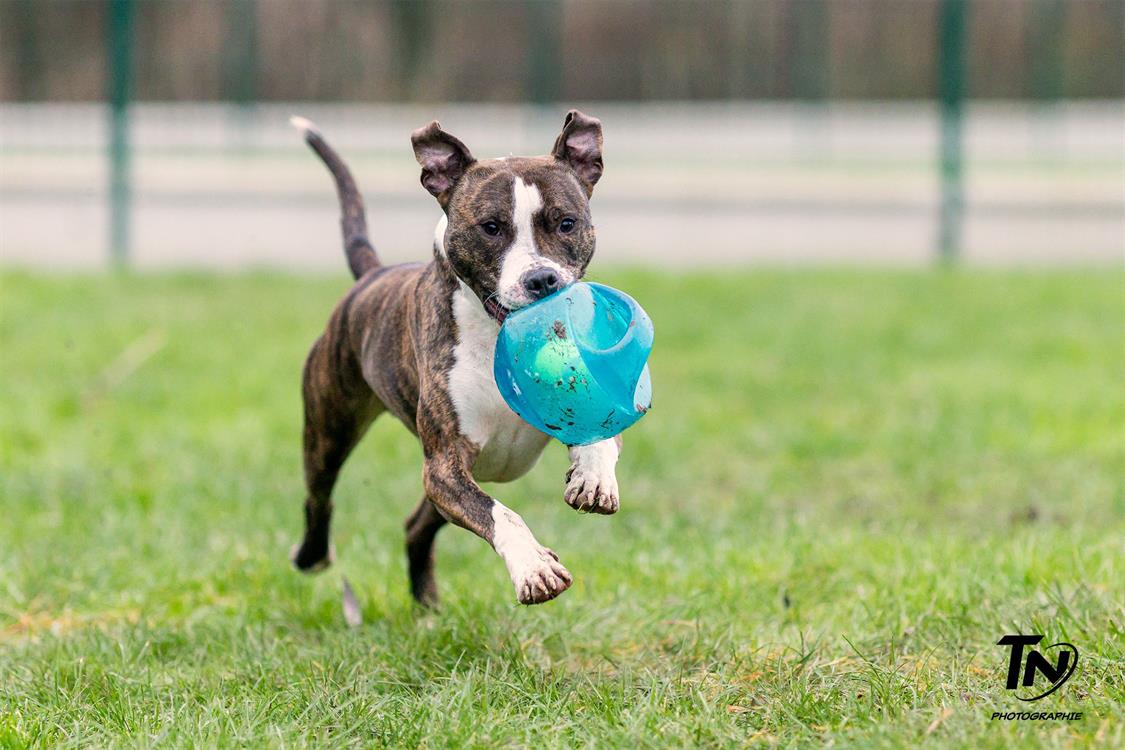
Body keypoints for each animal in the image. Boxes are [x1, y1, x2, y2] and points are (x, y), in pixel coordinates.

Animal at [288, 111, 623, 606]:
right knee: (319, 495)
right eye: (491, 227)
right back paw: (312, 556)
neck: (501, 338)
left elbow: (598, 441)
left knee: (416, 526)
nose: (542, 279)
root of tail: (373, 274)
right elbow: (500, 514)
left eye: (566, 223)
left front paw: (593, 479)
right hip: (330, 427)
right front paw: (534, 568)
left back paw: (427, 604)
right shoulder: (444, 464)